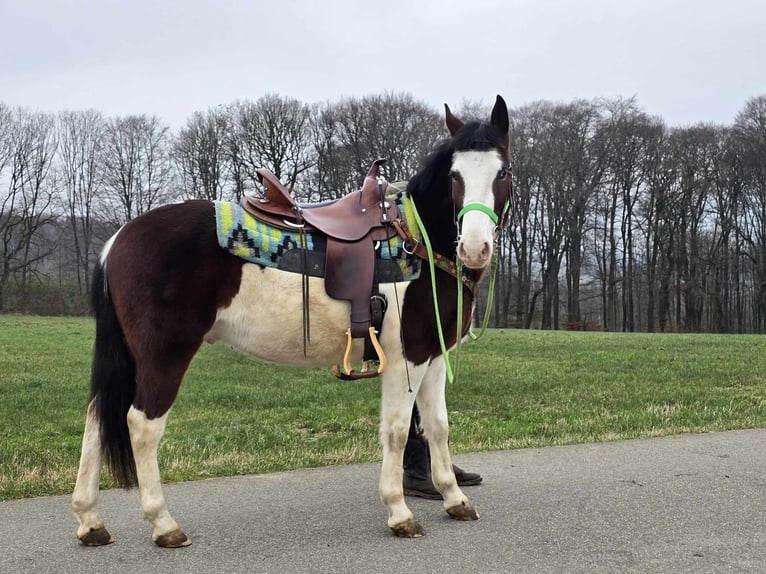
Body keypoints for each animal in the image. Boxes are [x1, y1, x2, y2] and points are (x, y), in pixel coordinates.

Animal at [72, 94, 512, 548]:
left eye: (503, 172)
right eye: (455, 176)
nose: (475, 247)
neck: (416, 239)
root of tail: (117, 240)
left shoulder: (433, 356)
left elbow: (437, 426)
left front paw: (454, 499)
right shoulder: (405, 359)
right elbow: (398, 430)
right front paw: (400, 512)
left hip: (130, 357)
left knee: (97, 418)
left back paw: (90, 521)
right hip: (164, 355)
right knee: (141, 425)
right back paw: (163, 524)